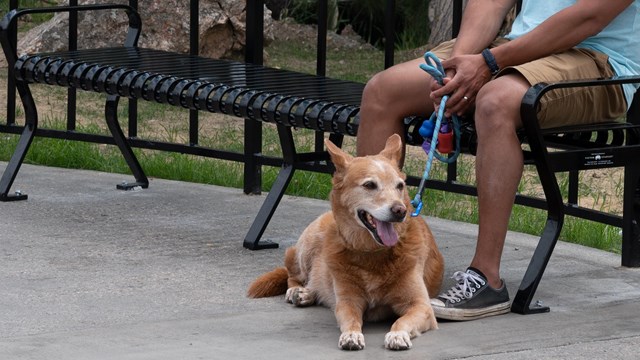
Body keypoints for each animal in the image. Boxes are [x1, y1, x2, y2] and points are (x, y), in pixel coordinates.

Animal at [248, 134, 442, 350]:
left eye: (400, 186)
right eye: (369, 185)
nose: (400, 210)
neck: (372, 253)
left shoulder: (421, 306)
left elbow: (402, 320)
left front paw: (397, 334)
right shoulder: (348, 301)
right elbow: (350, 319)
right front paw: (351, 334)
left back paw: (307, 294)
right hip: (307, 246)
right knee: (294, 274)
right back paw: (298, 291)